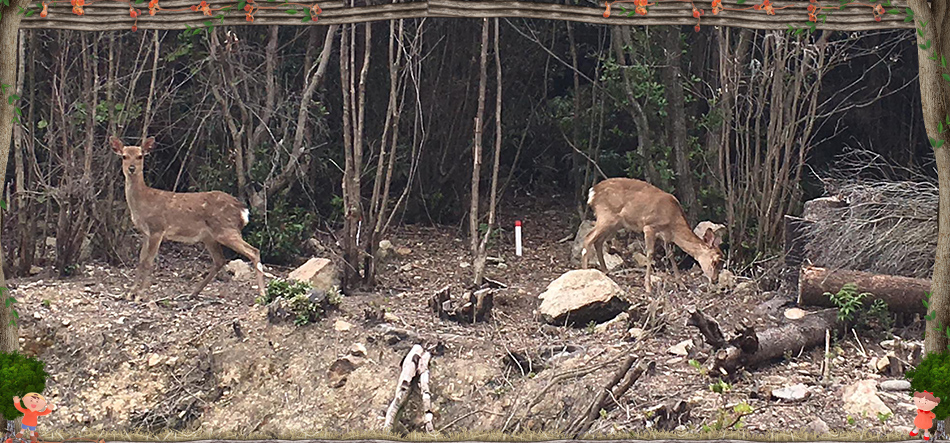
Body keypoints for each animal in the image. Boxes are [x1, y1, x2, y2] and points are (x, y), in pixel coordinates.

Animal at [110, 137, 268, 300]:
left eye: (140, 156)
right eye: (124, 156)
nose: (132, 168)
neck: (143, 202)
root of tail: (243, 210)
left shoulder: (157, 229)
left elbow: (148, 262)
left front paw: (139, 295)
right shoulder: (146, 233)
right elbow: (141, 261)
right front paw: (130, 293)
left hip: (226, 230)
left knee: (253, 251)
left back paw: (262, 294)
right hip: (209, 236)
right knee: (220, 260)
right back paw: (193, 292)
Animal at [580, 179, 728, 294]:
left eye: (721, 262)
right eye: (715, 261)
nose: (715, 280)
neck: (673, 221)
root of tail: (592, 192)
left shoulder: (666, 236)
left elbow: (670, 255)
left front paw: (681, 284)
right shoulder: (649, 226)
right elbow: (650, 254)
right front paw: (648, 287)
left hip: (615, 222)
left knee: (598, 241)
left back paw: (606, 272)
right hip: (606, 215)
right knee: (588, 238)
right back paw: (586, 273)